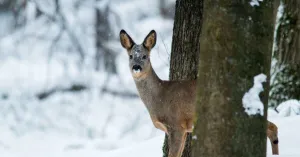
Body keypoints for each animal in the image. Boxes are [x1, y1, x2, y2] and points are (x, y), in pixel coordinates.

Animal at [119, 29, 278, 157]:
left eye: (145, 56)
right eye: (131, 56)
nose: (136, 67)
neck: (159, 96)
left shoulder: (176, 123)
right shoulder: (184, 129)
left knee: (271, 127)